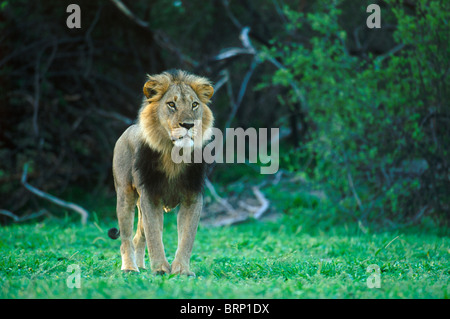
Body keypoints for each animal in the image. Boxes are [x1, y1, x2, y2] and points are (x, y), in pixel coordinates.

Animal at [108, 70, 214, 278]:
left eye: (194, 104)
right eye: (171, 104)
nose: (188, 125)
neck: (174, 155)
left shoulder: (193, 197)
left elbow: (187, 238)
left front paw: (182, 270)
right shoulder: (150, 196)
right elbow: (154, 236)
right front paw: (160, 269)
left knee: (138, 237)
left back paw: (141, 266)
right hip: (125, 196)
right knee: (126, 238)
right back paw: (130, 268)